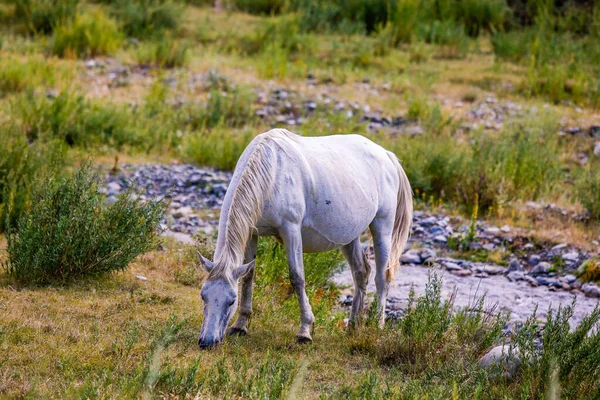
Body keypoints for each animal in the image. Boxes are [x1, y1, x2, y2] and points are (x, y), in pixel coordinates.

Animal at [197, 129, 412, 346]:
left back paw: (377, 325)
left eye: (231, 300)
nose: (207, 341)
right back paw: (352, 326)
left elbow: (297, 278)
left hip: (382, 227)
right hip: (349, 236)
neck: (272, 173)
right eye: (203, 295)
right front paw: (240, 326)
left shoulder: (291, 230)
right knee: (361, 272)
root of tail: (386, 155)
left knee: (381, 278)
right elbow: (249, 276)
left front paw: (304, 331)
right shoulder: (252, 233)